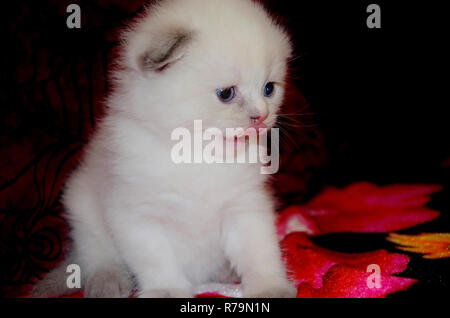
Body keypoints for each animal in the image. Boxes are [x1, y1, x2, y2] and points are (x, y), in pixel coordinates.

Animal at [33, 0, 298, 298]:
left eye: (269, 89)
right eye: (226, 94)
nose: (262, 116)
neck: (198, 154)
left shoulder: (244, 206)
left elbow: (260, 252)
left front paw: (270, 287)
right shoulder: (139, 216)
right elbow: (157, 262)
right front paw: (167, 291)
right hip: (82, 208)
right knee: (96, 255)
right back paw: (107, 281)